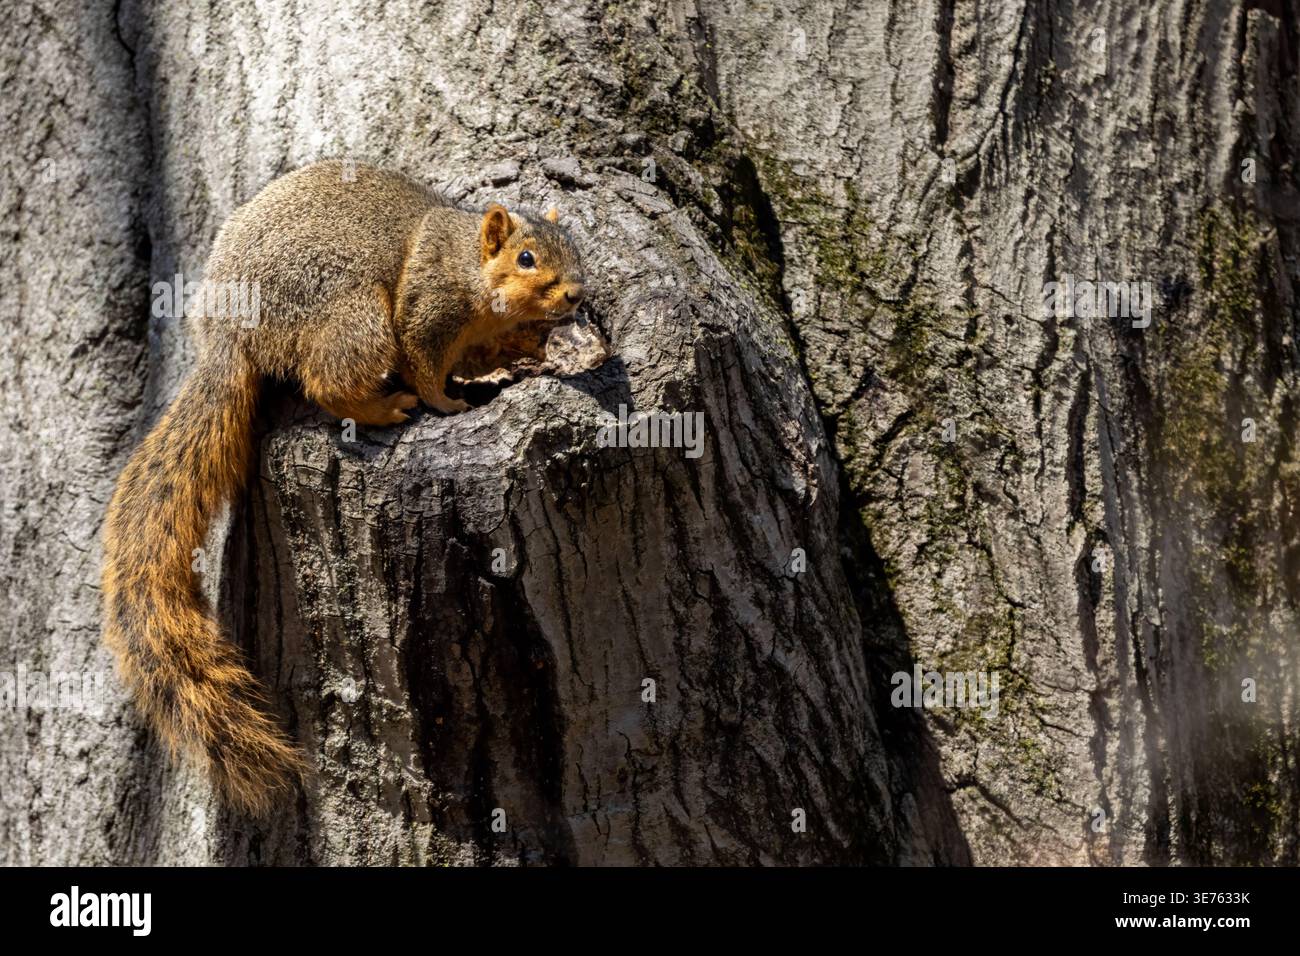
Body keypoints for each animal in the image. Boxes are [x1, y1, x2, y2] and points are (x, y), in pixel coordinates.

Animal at [101, 160, 586, 814]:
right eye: (527, 258)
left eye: (575, 247)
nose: (577, 295)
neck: (469, 266)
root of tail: (229, 334)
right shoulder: (425, 309)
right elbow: (425, 364)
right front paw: (447, 403)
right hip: (351, 312)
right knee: (328, 380)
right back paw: (383, 409)